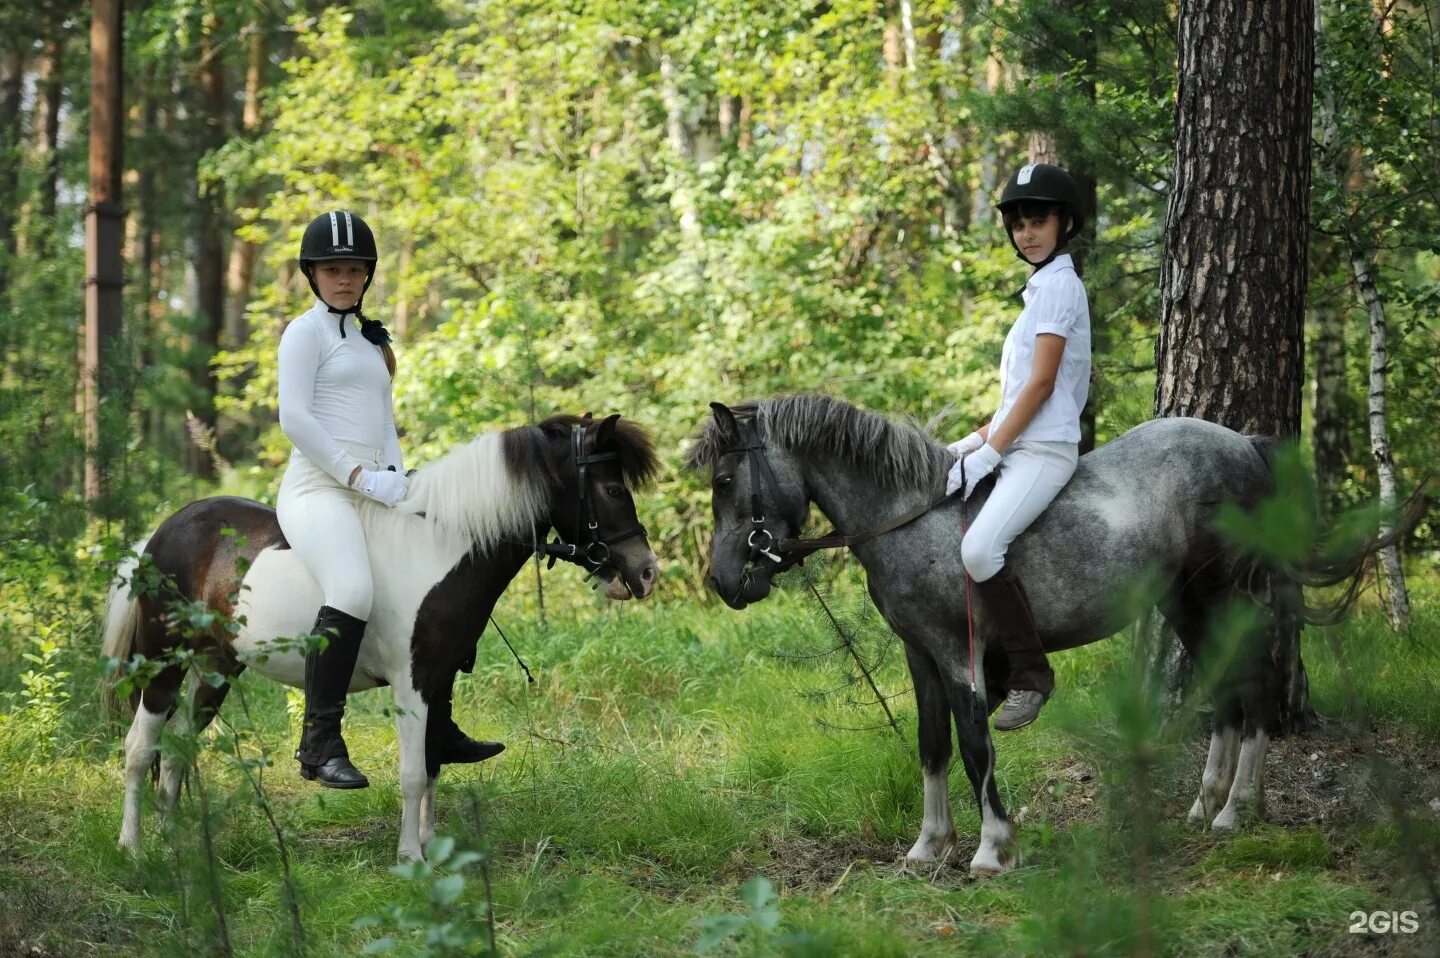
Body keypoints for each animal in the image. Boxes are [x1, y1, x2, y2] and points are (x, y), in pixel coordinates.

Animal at [105, 414, 659, 864]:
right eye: (614, 490)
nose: (646, 572)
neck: (439, 547)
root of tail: (162, 532)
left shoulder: (437, 680)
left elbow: (433, 764)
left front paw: (431, 846)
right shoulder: (410, 682)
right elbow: (412, 772)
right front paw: (410, 858)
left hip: (215, 667)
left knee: (177, 747)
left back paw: (177, 846)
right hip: (162, 661)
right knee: (140, 747)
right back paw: (133, 849)